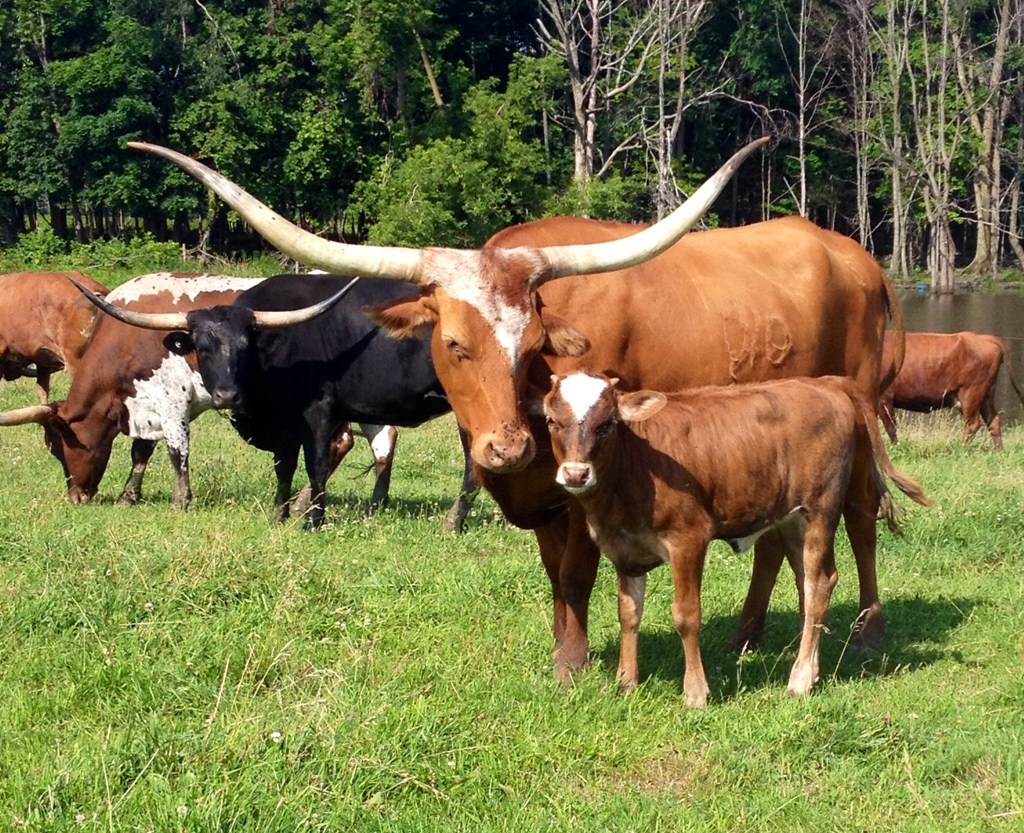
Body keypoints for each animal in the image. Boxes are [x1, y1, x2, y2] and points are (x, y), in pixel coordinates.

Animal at [76, 273, 480, 531]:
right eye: (202, 348)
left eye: (245, 345)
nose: (227, 395)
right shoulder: (284, 422)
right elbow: (284, 467)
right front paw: (279, 515)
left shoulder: (317, 412)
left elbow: (315, 464)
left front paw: (313, 521)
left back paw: (453, 522)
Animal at [123, 139, 906, 680]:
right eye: (452, 342)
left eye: (532, 342)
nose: (506, 448)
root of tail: (855, 256)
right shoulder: (541, 494)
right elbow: (554, 576)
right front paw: (564, 651)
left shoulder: (589, 489)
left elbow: (580, 575)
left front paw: (578, 663)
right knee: (777, 540)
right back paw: (745, 636)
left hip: (858, 418)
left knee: (863, 521)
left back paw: (868, 628)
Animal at [542, 371, 931, 706]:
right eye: (551, 421)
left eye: (607, 424)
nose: (575, 473)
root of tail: (825, 382)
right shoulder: (625, 548)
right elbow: (628, 613)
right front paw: (626, 683)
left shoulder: (688, 539)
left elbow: (686, 615)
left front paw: (696, 692)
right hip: (791, 519)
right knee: (813, 584)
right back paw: (813, 668)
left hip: (821, 509)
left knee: (819, 584)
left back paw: (800, 678)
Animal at [880, 331, 1024, 450]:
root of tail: (983, 337)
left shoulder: (884, 398)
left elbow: (891, 427)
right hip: (986, 395)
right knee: (993, 421)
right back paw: (999, 451)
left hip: (971, 394)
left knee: (973, 424)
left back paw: (962, 448)